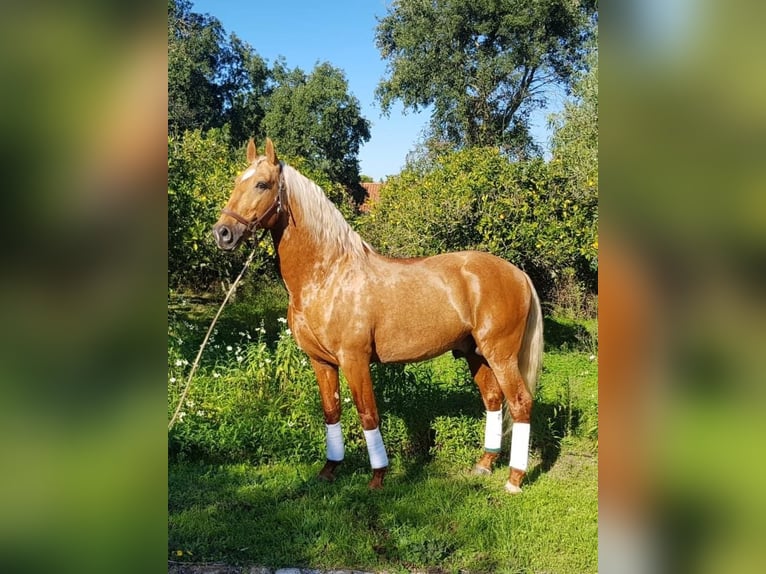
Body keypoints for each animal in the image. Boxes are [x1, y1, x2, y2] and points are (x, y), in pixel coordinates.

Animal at [213, 138, 544, 496]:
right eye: (236, 181)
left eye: (262, 184)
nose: (223, 233)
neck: (328, 275)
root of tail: (517, 273)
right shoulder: (321, 362)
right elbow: (332, 413)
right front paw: (329, 470)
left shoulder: (354, 359)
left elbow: (368, 414)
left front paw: (377, 477)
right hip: (475, 354)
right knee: (494, 400)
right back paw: (484, 464)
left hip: (501, 355)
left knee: (520, 403)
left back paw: (514, 479)